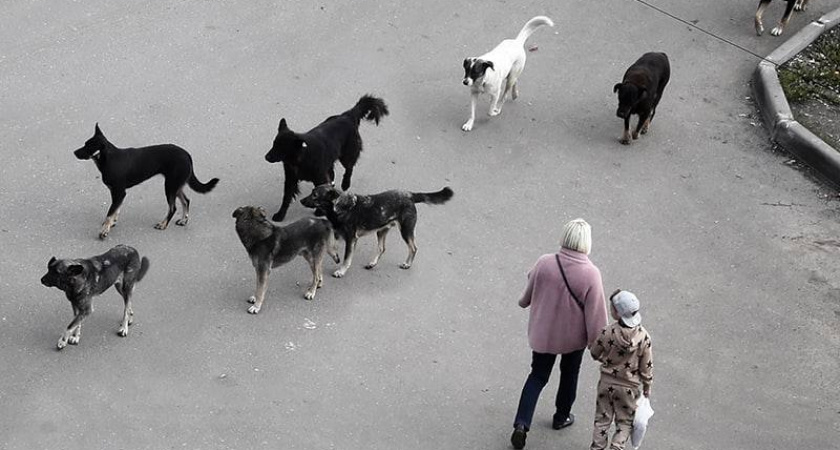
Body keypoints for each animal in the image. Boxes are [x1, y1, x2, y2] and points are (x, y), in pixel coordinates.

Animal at [74, 124, 220, 239]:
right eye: (85, 143)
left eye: (87, 147)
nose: (74, 152)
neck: (108, 158)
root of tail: (187, 155)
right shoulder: (117, 193)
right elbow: (115, 209)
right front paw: (112, 223)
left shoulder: (119, 192)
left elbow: (110, 213)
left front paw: (104, 230)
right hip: (176, 185)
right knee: (186, 201)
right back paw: (184, 220)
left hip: (170, 186)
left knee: (173, 208)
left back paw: (163, 224)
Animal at [296, 184, 450, 276]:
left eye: (315, 195)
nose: (301, 201)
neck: (340, 206)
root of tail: (410, 194)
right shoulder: (338, 234)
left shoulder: (351, 239)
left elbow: (347, 258)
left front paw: (341, 271)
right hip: (381, 231)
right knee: (382, 248)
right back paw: (372, 263)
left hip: (406, 231)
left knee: (413, 248)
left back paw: (407, 264)